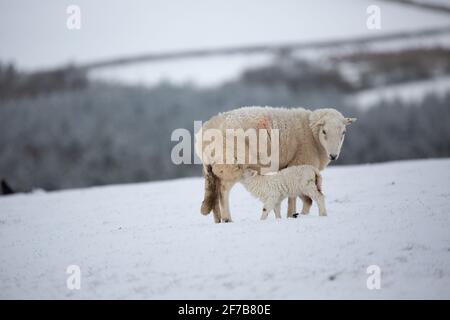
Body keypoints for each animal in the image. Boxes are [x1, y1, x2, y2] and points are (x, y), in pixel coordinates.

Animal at [195, 106, 356, 224]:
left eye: (343, 132)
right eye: (324, 131)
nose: (334, 156)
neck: (312, 136)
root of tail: (203, 133)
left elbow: (302, 198)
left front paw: (296, 214)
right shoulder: (299, 162)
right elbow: (298, 198)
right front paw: (293, 214)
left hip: (214, 168)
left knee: (214, 192)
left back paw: (218, 220)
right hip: (231, 164)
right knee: (223, 191)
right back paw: (227, 218)